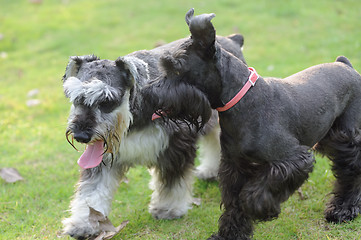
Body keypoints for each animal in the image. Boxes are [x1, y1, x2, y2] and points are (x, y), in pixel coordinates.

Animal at [61, 8, 245, 239]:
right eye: (75, 98)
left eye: (107, 100)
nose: (81, 136)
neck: (133, 116)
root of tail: (231, 40)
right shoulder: (102, 157)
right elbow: (91, 191)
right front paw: (84, 222)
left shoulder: (175, 145)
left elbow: (172, 181)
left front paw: (169, 209)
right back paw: (210, 170)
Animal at [150, 11, 361, 240]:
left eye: (176, 68)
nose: (148, 93)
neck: (243, 100)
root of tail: (345, 65)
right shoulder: (234, 166)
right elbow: (234, 204)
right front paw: (230, 234)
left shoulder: (293, 159)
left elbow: (252, 194)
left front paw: (261, 209)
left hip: (347, 140)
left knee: (352, 174)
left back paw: (343, 210)